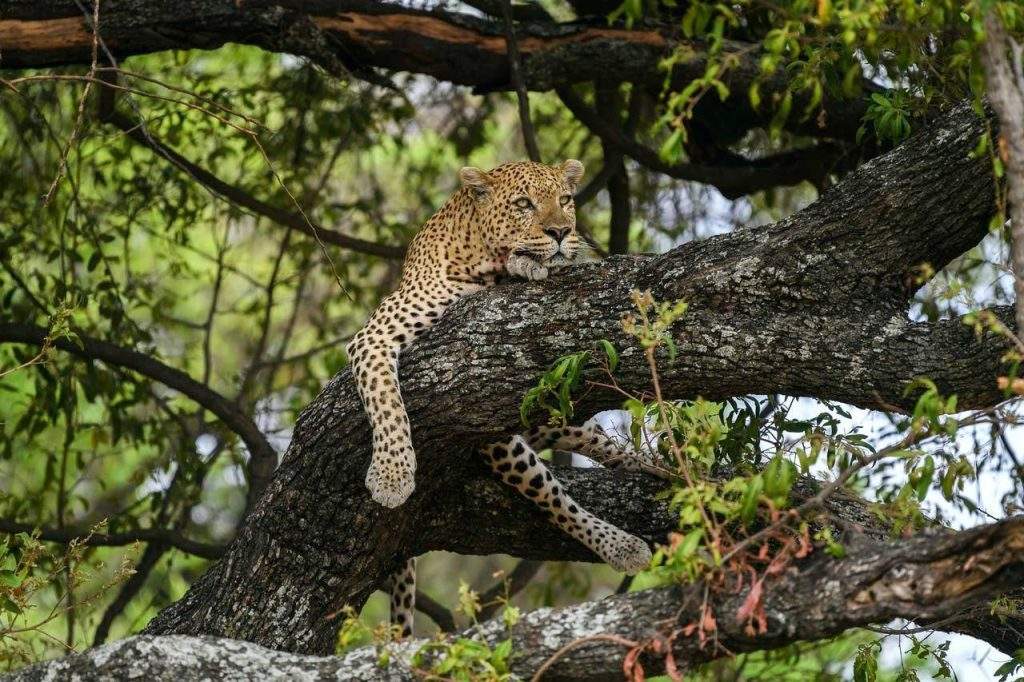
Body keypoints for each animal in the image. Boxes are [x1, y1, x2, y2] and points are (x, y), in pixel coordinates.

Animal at [344, 157, 647, 630]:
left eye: (565, 200)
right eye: (524, 204)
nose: (561, 231)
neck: (480, 263)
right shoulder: (375, 336)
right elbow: (387, 401)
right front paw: (392, 475)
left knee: (579, 457)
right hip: (499, 441)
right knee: (553, 494)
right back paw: (624, 543)